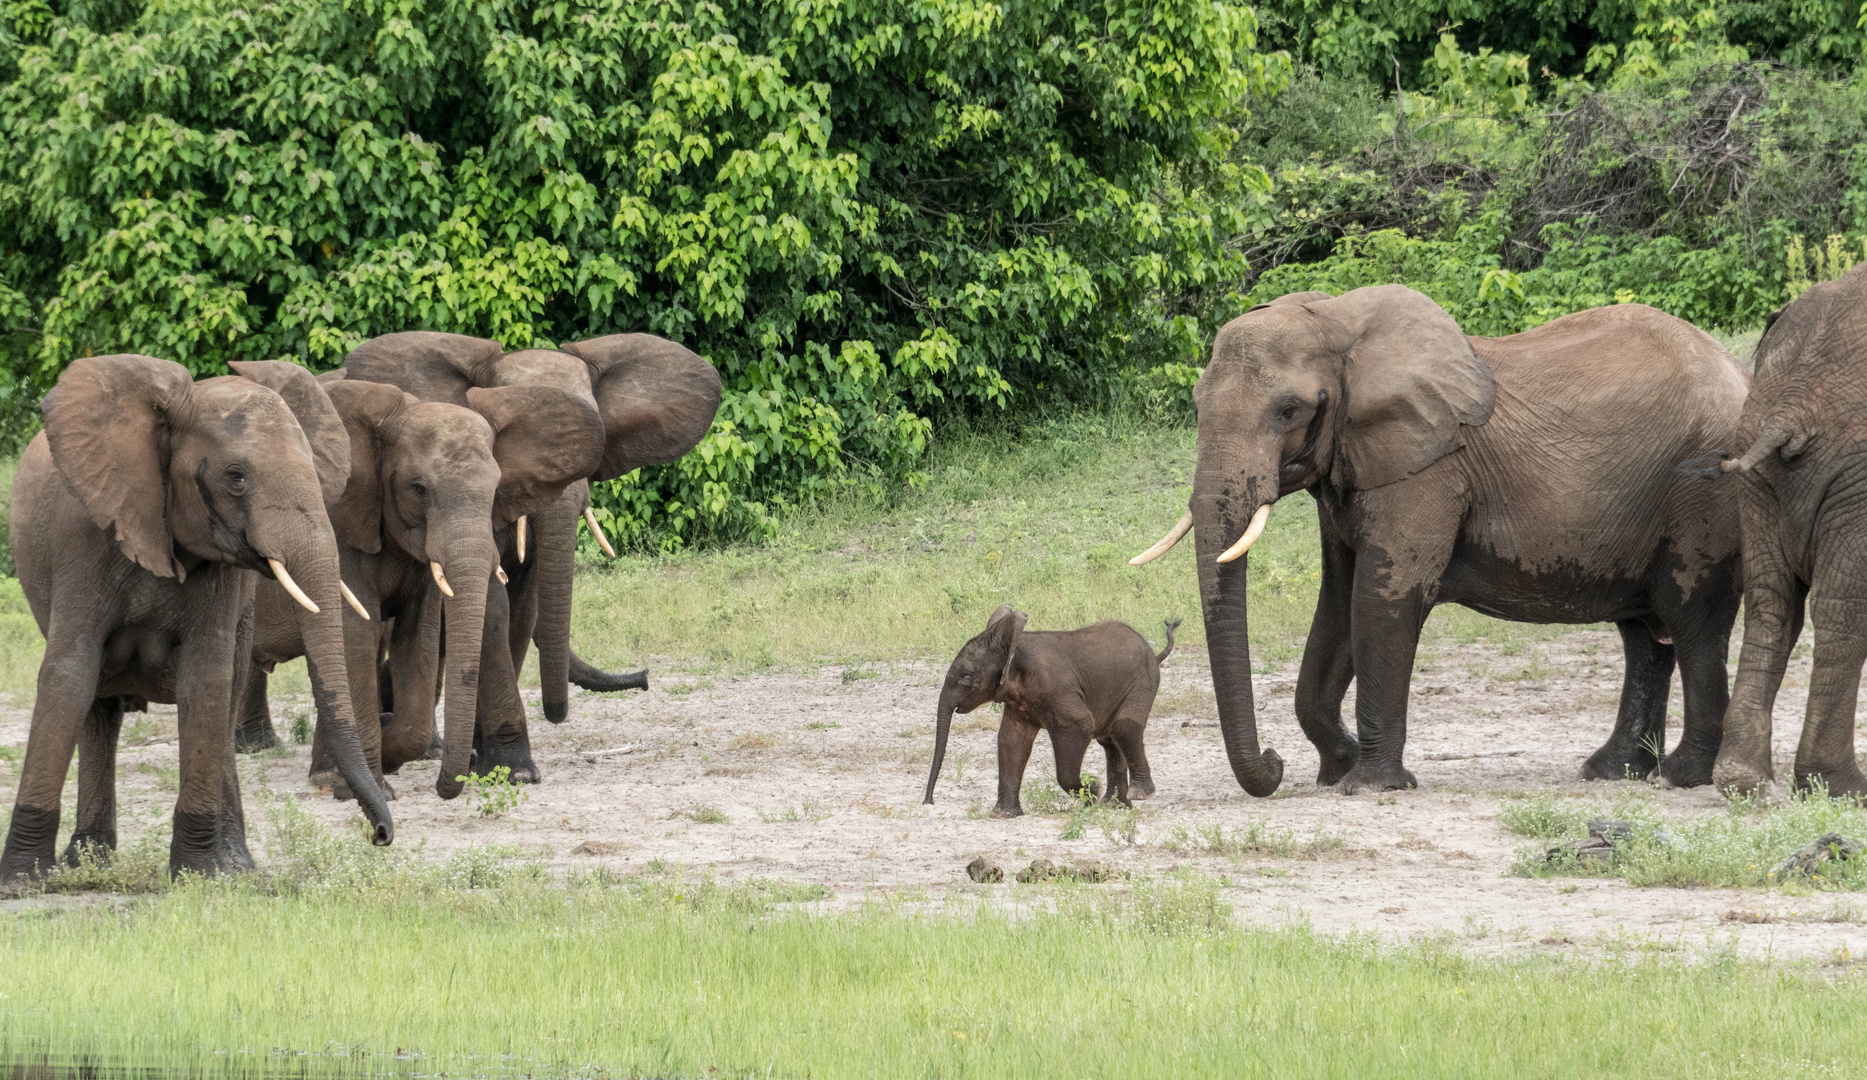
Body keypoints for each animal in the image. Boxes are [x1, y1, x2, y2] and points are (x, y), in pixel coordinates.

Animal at [2, 353, 390, 874]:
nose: (381, 836)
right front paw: (22, 878)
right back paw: (90, 861)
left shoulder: (223, 572)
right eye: (236, 477)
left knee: (226, 692)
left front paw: (198, 874)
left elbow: (206, 679)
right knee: (99, 708)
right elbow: (69, 674)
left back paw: (235, 865)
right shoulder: (82, 539)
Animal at [240, 373, 601, 795]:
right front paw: (374, 782)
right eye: (419, 489)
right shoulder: (340, 527)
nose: (452, 780)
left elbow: (417, 638)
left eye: (496, 488)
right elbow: (357, 635)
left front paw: (383, 757)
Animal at [926, 605, 1172, 814]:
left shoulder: (1056, 688)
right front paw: (1003, 814)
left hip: (1143, 681)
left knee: (1124, 728)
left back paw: (1138, 794)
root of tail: (1152, 652)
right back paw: (1114, 806)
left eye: (967, 677)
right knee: (1109, 739)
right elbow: (1011, 740)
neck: (1014, 647)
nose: (928, 802)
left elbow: (1080, 725)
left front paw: (1093, 789)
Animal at [1127, 289, 1754, 795]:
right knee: (1645, 634)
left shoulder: (1426, 472)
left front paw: (1368, 785)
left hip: (1705, 495)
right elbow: (1337, 604)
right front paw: (1339, 766)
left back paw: (1682, 777)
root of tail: (1741, 373)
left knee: (1693, 618)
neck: (1338, 322)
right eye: (1196, 405)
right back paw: (1611, 772)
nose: (1273, 760)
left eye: (1288, 410)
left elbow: (1382, 598)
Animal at [1710, 263, 1867, 799]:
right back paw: (1841, 786)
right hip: (1855, 475)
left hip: (1753, 468)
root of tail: (1792, 406)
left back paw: (1742, 779)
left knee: (1770, 603)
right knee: (1841, 611)